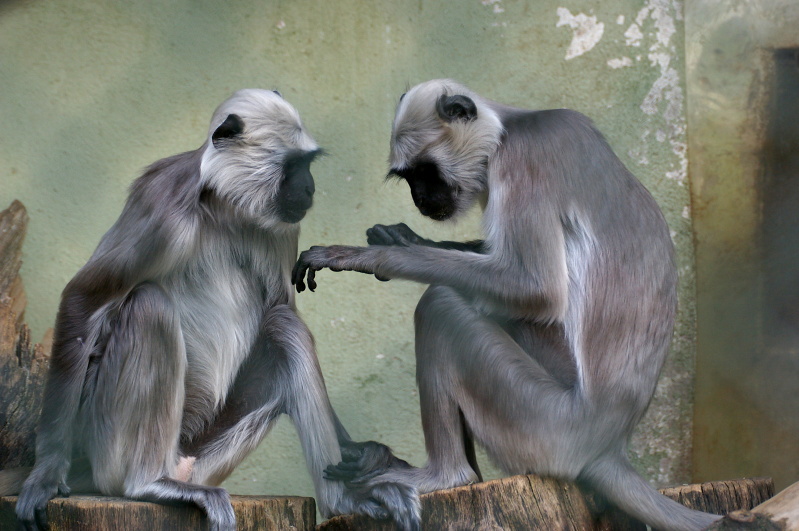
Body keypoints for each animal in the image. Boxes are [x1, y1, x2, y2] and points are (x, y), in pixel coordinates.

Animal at [4, 89, 418, 528]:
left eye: (307, 165)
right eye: (294, 166)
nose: (310, 188)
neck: (223, 206)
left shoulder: (281, 226)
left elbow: (278, 306)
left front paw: (357, 451)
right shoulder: (163, 210)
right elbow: (83, 300)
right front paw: (46, 472)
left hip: (206, 451)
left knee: (283, 323)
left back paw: (345, 501)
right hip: (107, 439)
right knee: (149, 305)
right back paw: (145, 484)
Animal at [292, 80, 724, 531]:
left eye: (425, 173)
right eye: (410, 178)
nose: (421, 199)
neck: (511, 127)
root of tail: (610, 442)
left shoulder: (523, 158)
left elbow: (535, 289)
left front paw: (368, 257)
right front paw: (404, 238)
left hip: (543, 421)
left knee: (442, 305)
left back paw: (446, 475)